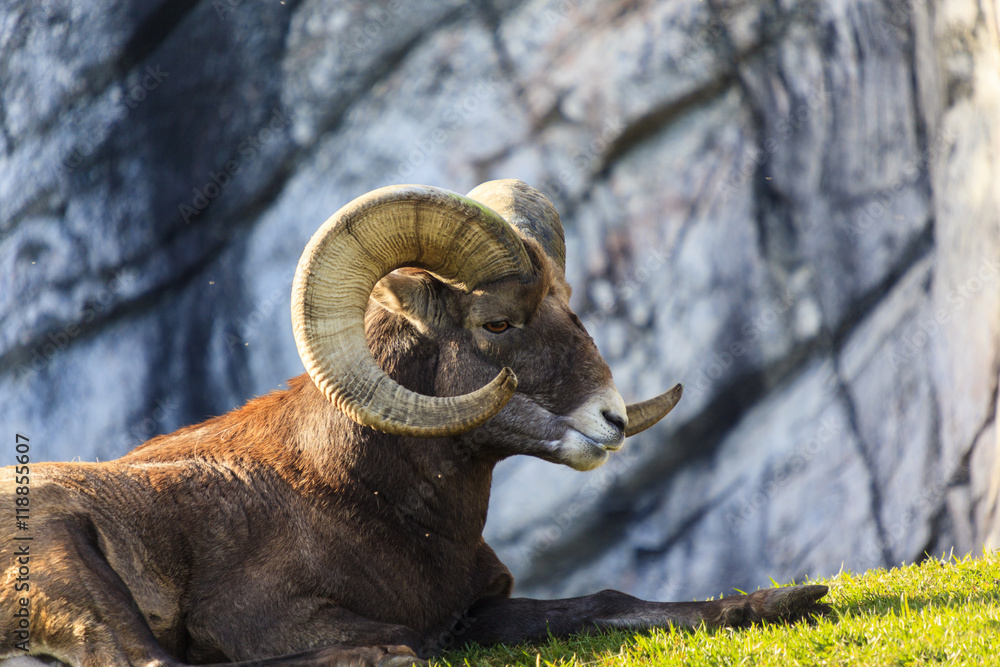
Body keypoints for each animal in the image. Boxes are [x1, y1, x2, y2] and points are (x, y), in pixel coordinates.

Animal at [0, 181, 828, 667]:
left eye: (571, 307)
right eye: (497, 322)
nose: (612, 418)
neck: (363, 495)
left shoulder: (482, 612)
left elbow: (609, 602)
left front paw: (786, 601)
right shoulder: (271, 619)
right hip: (65, 553)